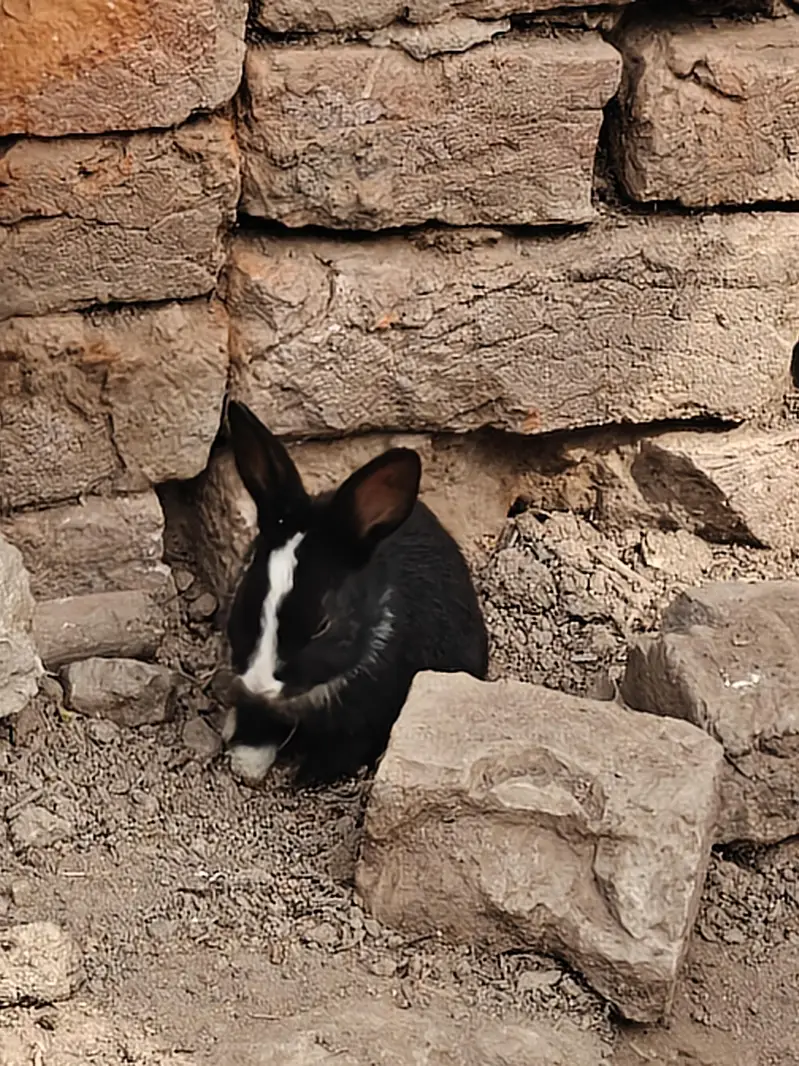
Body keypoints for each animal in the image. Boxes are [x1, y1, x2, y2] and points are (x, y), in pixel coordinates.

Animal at [220, 400, 489, 787]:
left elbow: (342, 750)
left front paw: (305, 778)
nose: (259, 684)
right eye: (245, 594)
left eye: (323, 624)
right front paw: (246, 760)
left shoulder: (366, 717)